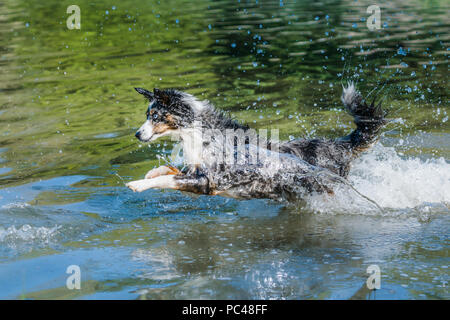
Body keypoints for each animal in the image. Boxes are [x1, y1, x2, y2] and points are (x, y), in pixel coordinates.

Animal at [126, 84, 386, 201]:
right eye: (147, 115)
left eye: (155, 116)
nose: (137, 134)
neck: (199, 133)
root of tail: (339, 144)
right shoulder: (194, 171)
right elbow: (166, 170)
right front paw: (149, 173)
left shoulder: (207, 181)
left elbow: (168, 179)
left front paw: (137, 184)